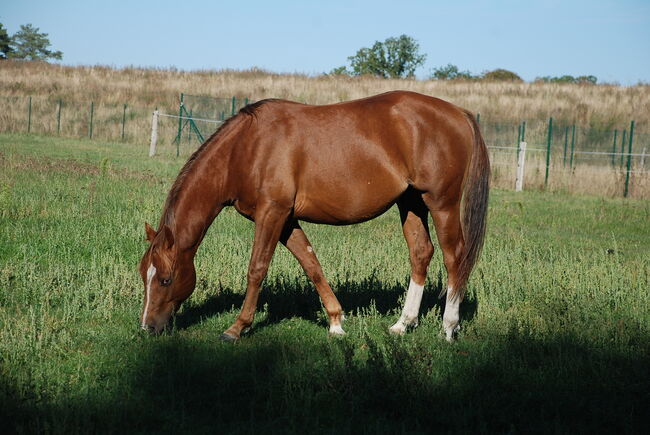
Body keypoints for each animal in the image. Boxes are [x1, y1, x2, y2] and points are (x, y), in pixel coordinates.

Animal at [139, 90, 490, 341]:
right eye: (145, 276)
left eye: (166, 279)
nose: (147, 328)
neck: (248, 147)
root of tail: (458, 112)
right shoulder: (286, 220)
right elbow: (311, 264)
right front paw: (335, 321)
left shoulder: (272, 213)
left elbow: (257, 269)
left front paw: (237, 327)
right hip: (411, 202)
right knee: (420, 254)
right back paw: (403, 324)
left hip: (441, 203)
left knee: (454, 258)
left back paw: (449, 326)